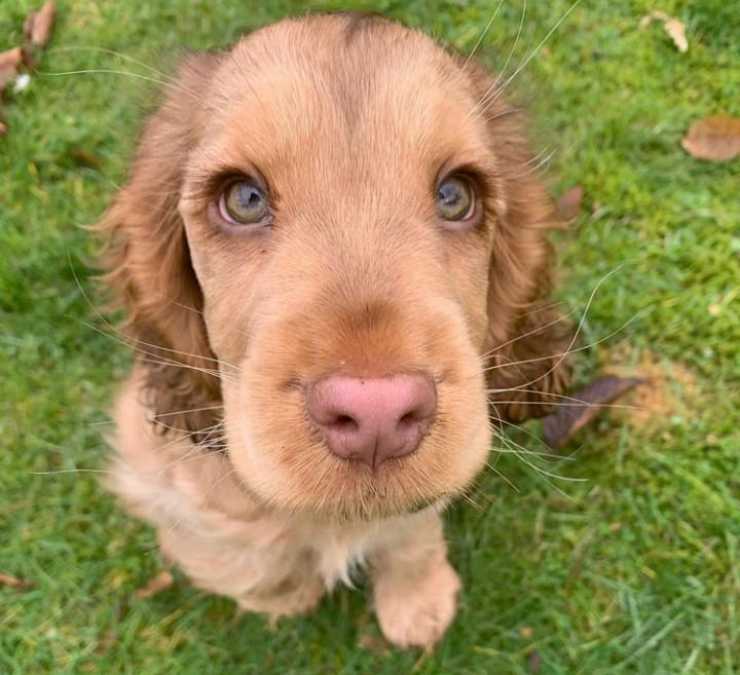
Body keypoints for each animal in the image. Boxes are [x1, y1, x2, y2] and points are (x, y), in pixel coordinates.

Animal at [98, 13, 568, 648]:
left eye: (455, 196)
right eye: (243, 199)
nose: (377, 417)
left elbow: (411, 529)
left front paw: (418, 603)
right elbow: (237, 547)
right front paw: (285, 596)